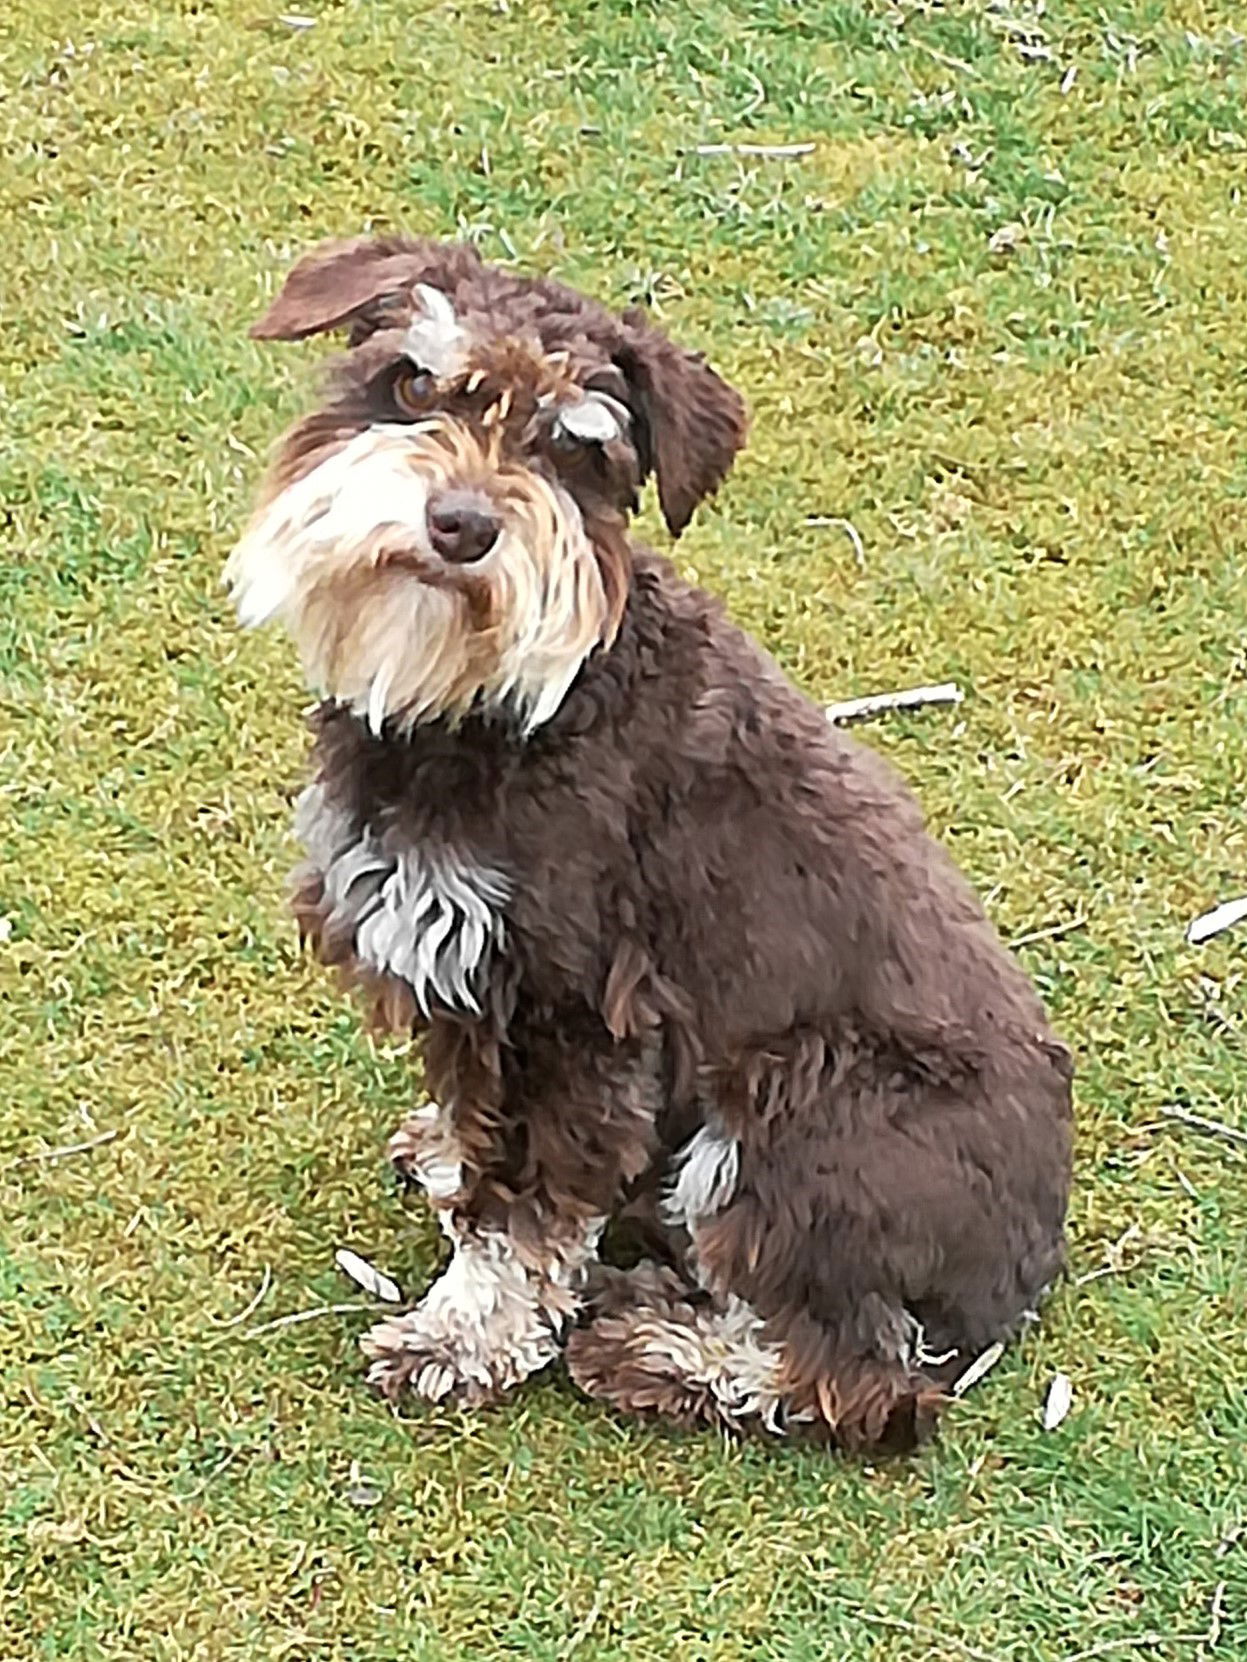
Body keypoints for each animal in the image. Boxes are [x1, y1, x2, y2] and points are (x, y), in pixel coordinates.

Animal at [227, 237, 1077, 1455]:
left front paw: (460, 1337)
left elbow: (523, 1209)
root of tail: (1025, 1269)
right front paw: (441, 1151)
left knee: (855, 1377)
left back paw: (654, 1350)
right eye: (413, 383)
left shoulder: (571, 1014)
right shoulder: (462, 977)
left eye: (574, 448)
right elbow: (475, 1121)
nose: (460, 525)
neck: (501, 707)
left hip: (791, 1110)